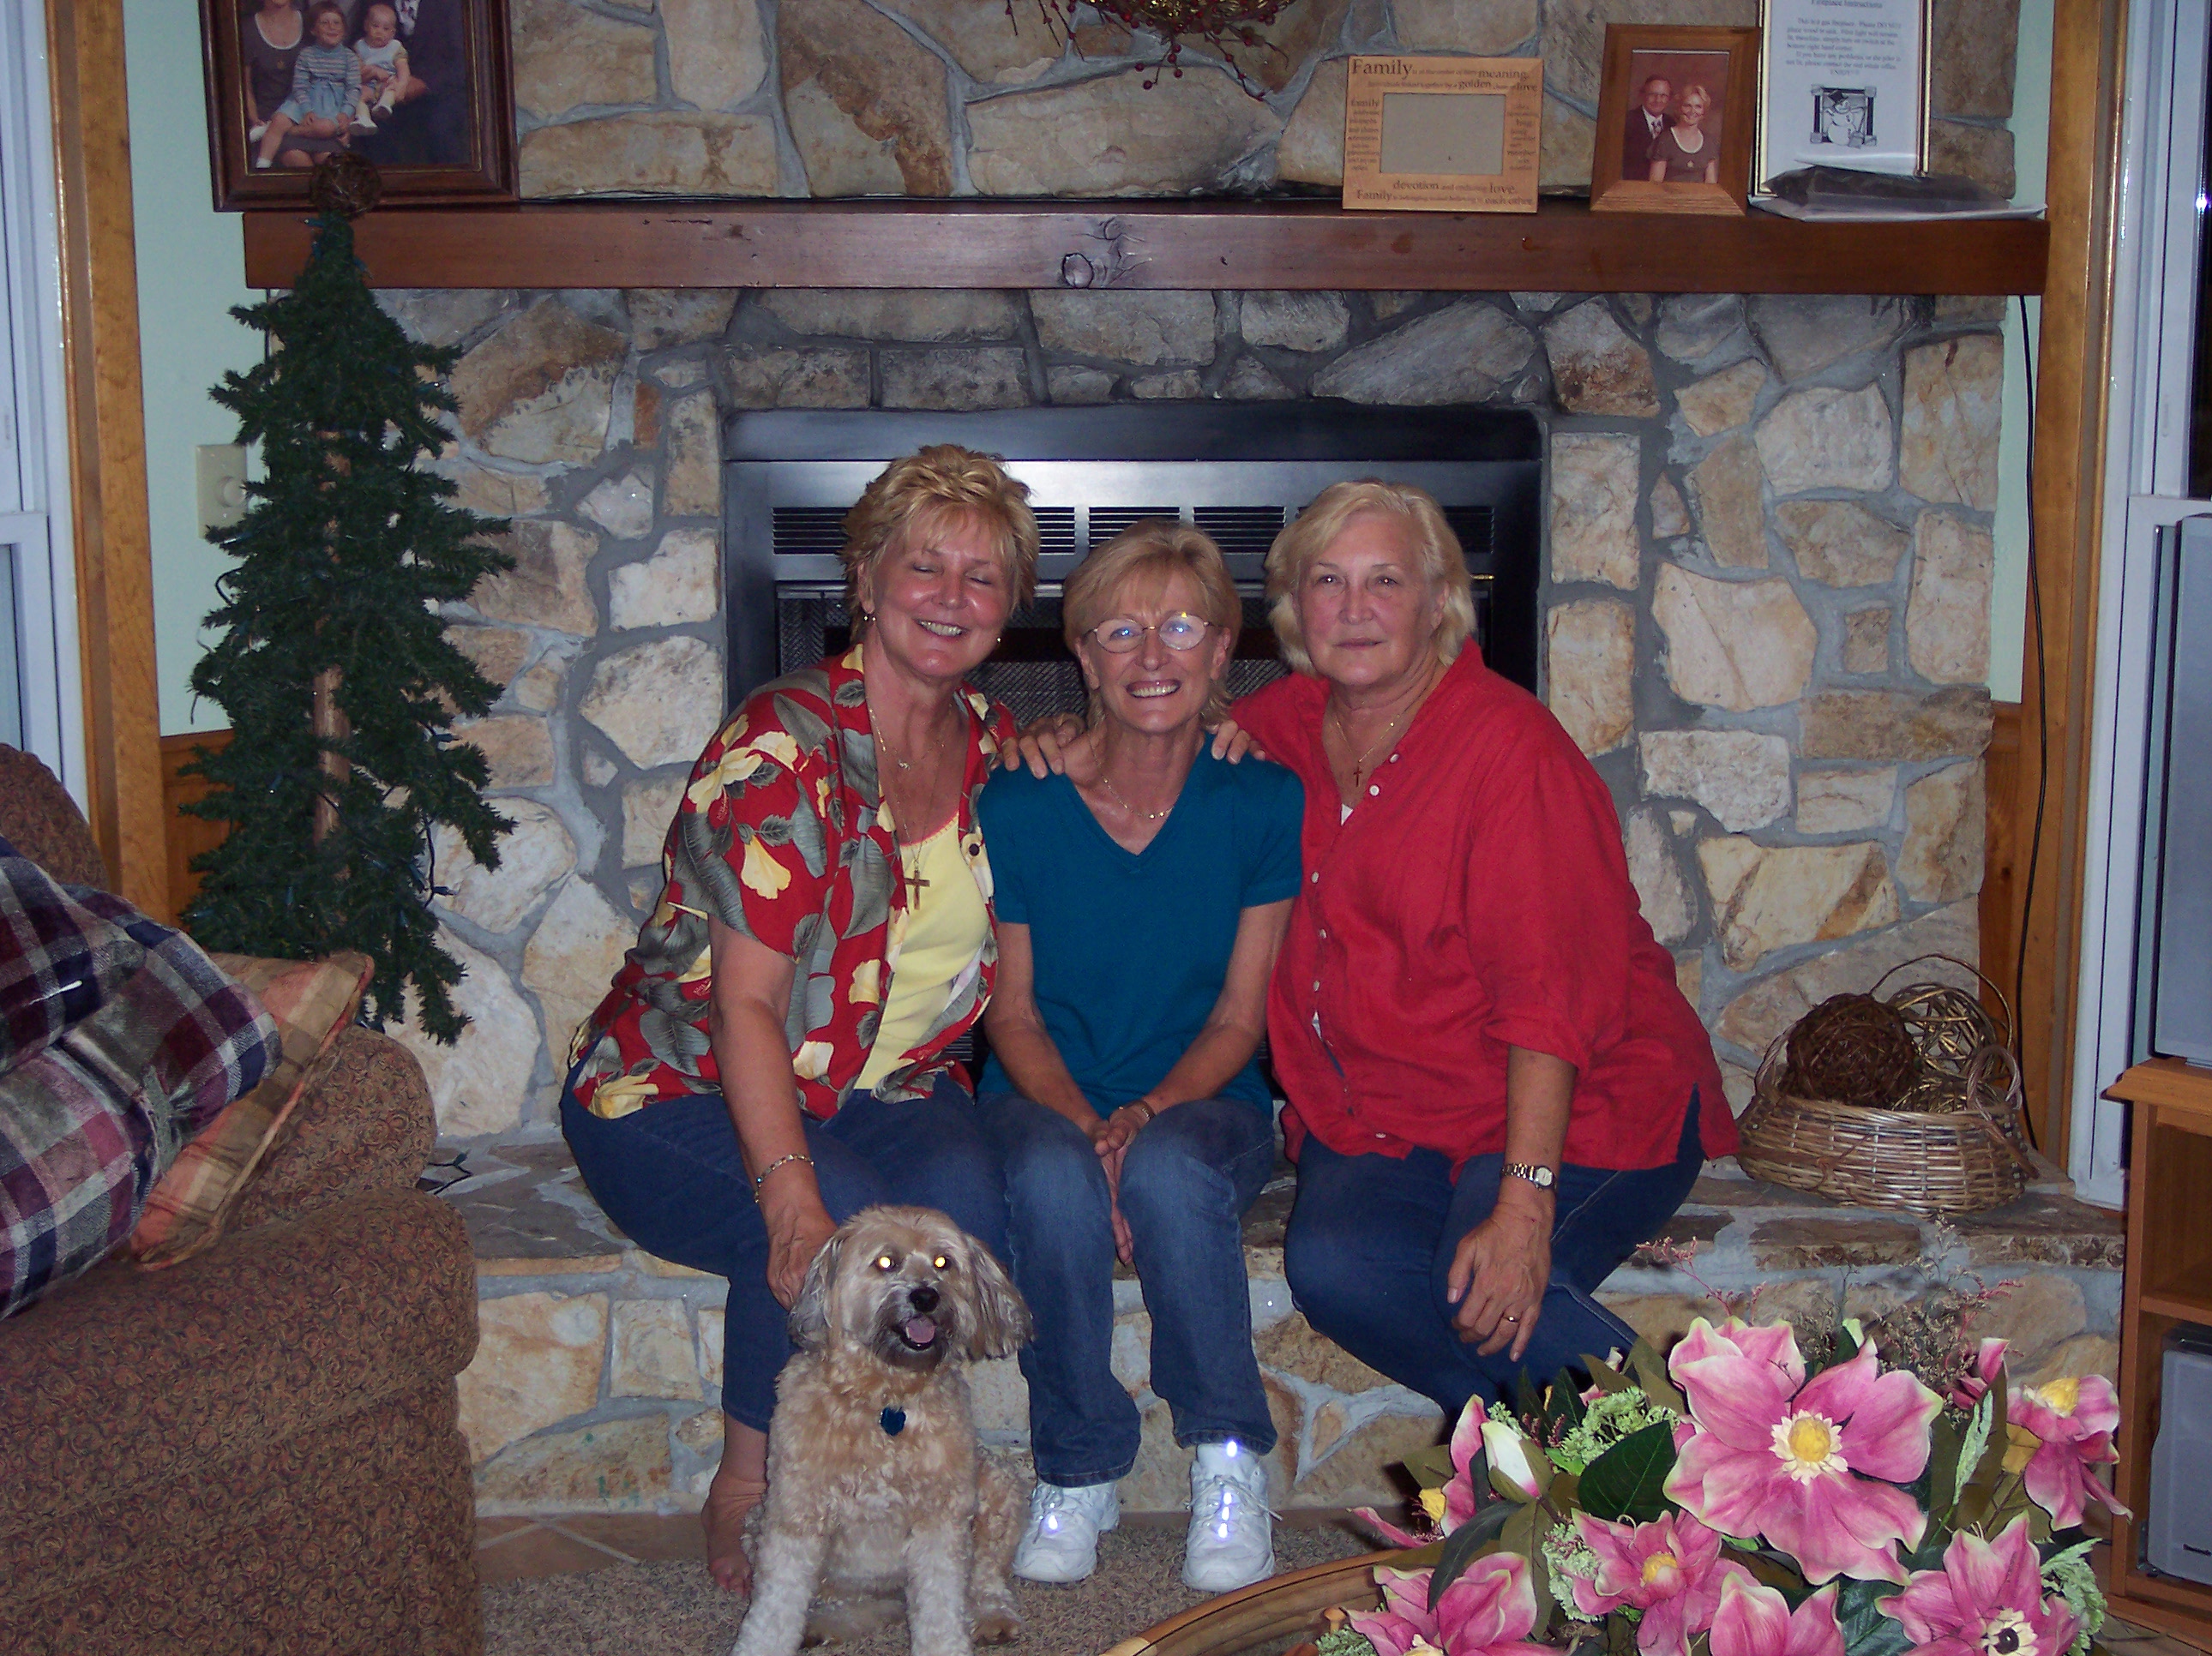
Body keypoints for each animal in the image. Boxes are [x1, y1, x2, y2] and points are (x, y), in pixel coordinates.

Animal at [731, 1205, 1033, 1656]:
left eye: (943, 1262)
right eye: (886, 1262)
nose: (926, 1297)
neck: (885, 1397)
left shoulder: (940, 1522)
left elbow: (941, 1610)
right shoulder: (795, 1517)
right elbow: (773, 1613)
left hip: (997, 1488)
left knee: (985, 1579)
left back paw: (992, 1616)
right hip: (760, 1527)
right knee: (853, 1604)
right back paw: (827, 1624)